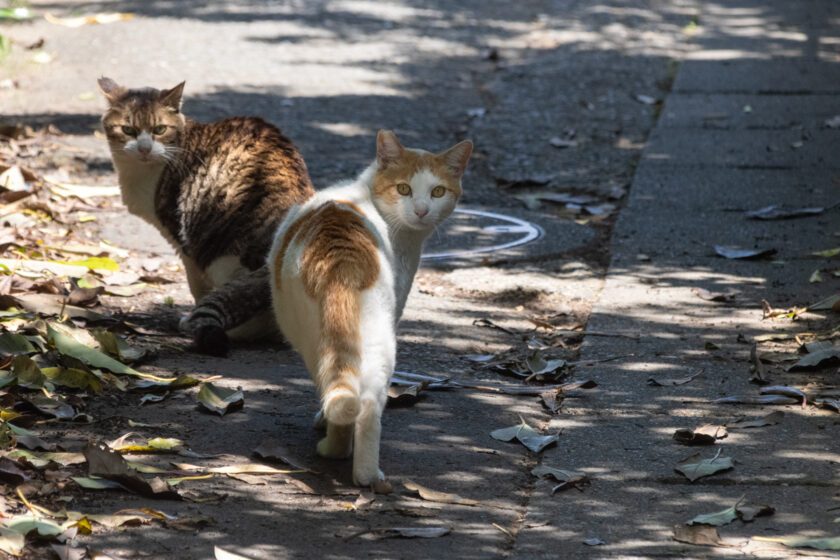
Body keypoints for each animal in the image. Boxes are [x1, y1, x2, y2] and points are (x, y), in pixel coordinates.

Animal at [95, 77, 312, 354]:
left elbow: (197, 287)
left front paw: (190, 318)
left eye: (160, 129)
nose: (144, 148)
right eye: (128, 130)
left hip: (221, 255)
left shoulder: (181, 240)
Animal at [268, 129, 472, 484]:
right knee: (368, 407)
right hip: (380, 343)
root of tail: (341, 261)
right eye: (404, 188)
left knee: (344, 392)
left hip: (320, 341)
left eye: (437, 191)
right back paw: (362, 471)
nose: (421, 210)